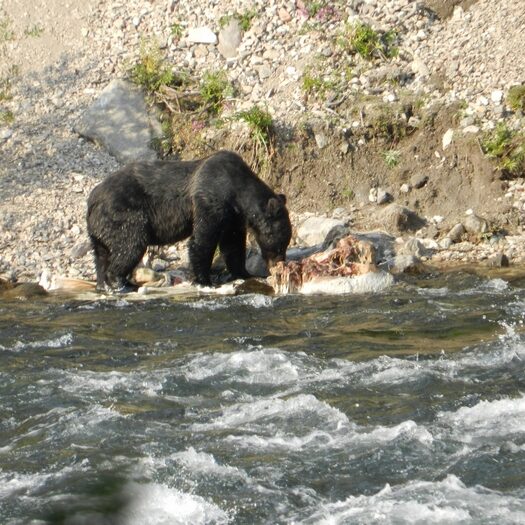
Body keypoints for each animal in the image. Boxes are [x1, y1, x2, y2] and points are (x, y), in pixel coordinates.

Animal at [86, 150, 290, 290]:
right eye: (281, 245)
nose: (279, 264)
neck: (237, 194)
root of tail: (92, 200)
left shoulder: (233, 217)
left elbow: (233, 245)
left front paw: (244, 273)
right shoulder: (210, 200)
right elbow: (203, 240)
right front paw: (204, 280)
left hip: (101, 227)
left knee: (101, 255)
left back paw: (103, 283)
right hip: (124, 214)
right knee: (130, 244)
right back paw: (122, 283)